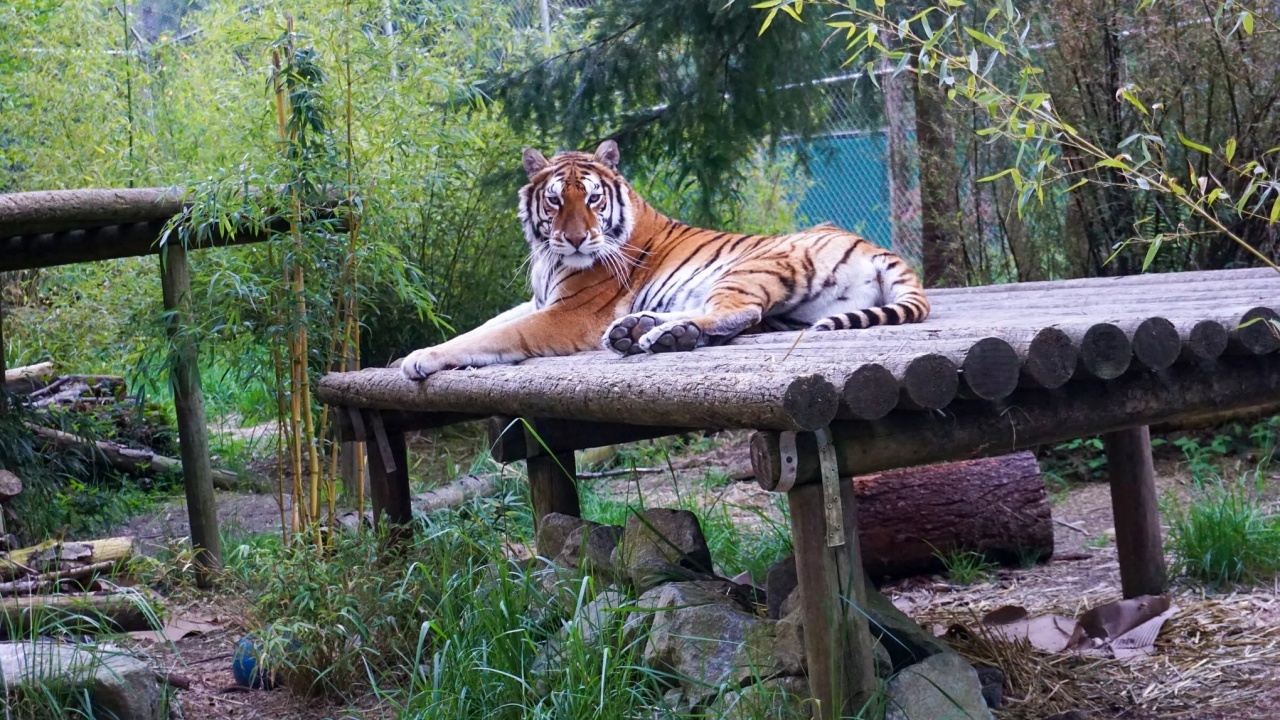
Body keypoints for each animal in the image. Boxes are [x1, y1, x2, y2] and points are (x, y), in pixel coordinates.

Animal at [394, 136, 926, 379]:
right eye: (554, 201)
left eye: (592, 199)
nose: (576, 240)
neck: (549, 257)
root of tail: (876, 247)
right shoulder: (540, 300)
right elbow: (486, 324)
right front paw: (408, 353)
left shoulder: (567, 314)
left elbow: (496, 335)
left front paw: (421, 359)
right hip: (788, 309)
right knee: (741, 318)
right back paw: (643, 329)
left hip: (749, 267)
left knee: (738, 311)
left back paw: (655, 334)